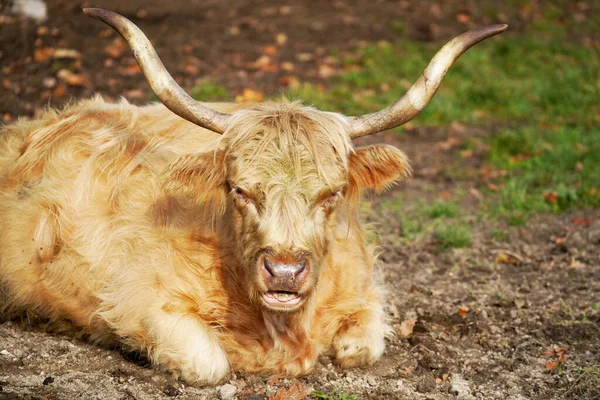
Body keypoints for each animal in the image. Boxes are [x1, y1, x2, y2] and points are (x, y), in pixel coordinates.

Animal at [0, 10, 506, 384]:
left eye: (331, 194)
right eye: (240, 190)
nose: (283, 270)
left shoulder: (365, 293)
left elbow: (360, 349)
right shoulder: (138, 300)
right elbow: (209, 362)